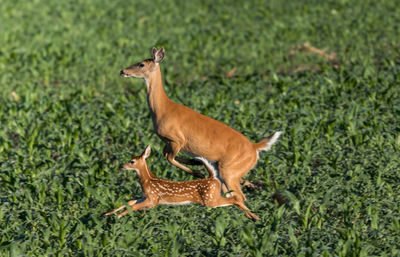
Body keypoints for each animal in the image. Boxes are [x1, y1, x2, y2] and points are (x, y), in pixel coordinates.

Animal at [120, 47, 282, 201]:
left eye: (141, 64)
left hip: (230, 170)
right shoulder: (169, 142)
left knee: (239, 195)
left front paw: (198, 173)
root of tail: (255, 148)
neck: (162, 108)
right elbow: (167, 155)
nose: (122, 71)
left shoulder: (177, 139)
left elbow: (169, 157)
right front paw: (196, 164)